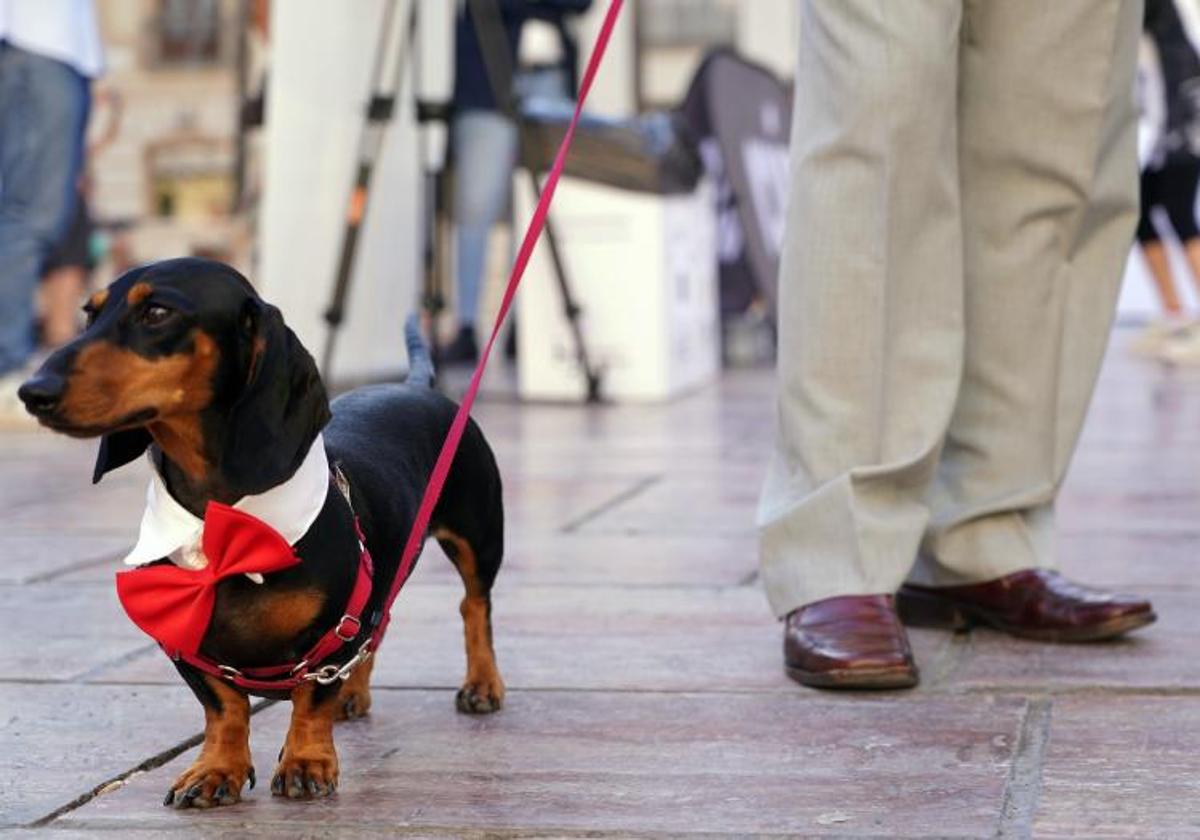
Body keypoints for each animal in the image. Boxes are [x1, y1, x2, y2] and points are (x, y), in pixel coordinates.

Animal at [18, 255, 506, 806]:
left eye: (157, 311)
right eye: (90, 312)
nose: (32, 392)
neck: (223, 521)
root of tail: (416, 385)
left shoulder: (335, 630)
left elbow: (311, 699)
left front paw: (307, 762)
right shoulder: (186, 648)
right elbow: (224, 707)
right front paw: (215, 769)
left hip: (477, 536)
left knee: (473, 606)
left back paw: (482, 685)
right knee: (379, 627)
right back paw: (354, 693)